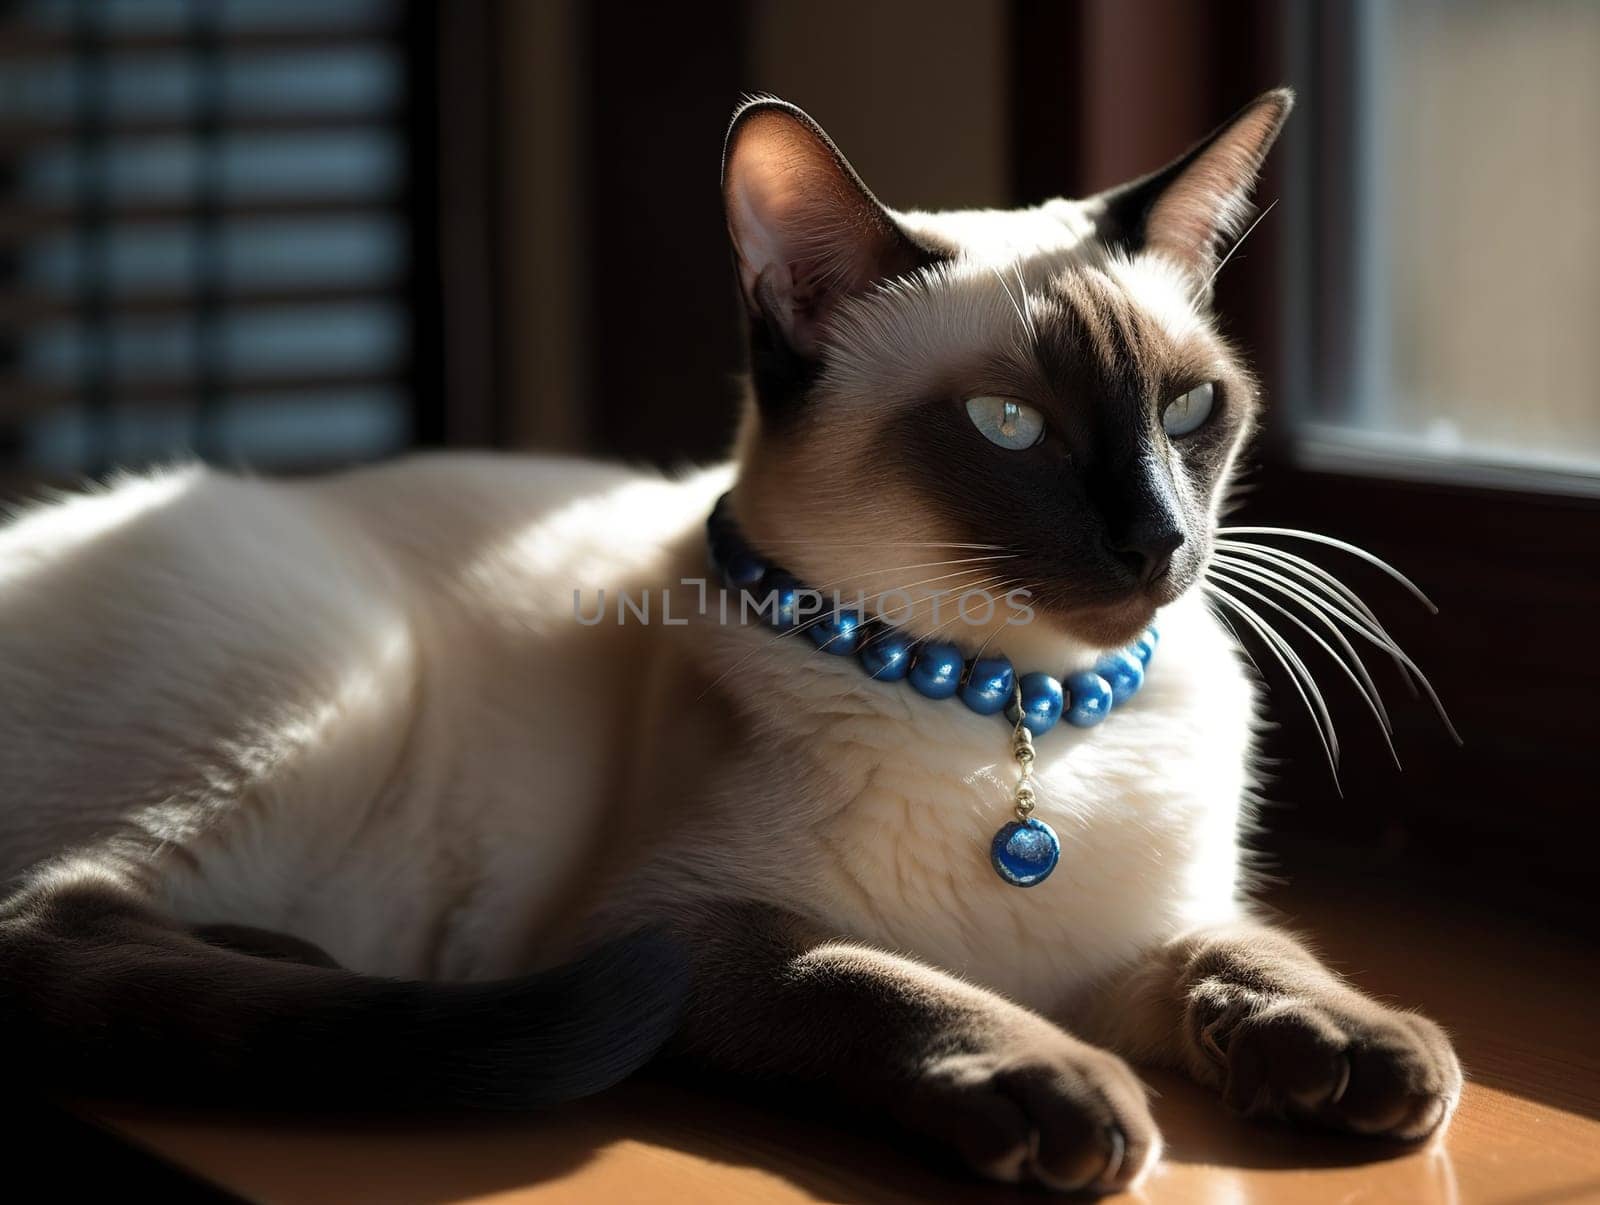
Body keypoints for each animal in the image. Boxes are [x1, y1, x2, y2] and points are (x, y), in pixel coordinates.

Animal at [0, 89, 1465, 1190]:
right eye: (1009, 427)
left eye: (1187, 408)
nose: (1159, 540)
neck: (1016, 708)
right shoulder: (677, 926)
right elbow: (872, 979)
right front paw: (1054, 1087)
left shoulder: (1144, 934)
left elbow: (1255, 951)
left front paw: (1363, 1052)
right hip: (315, 667)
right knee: (55, 925)